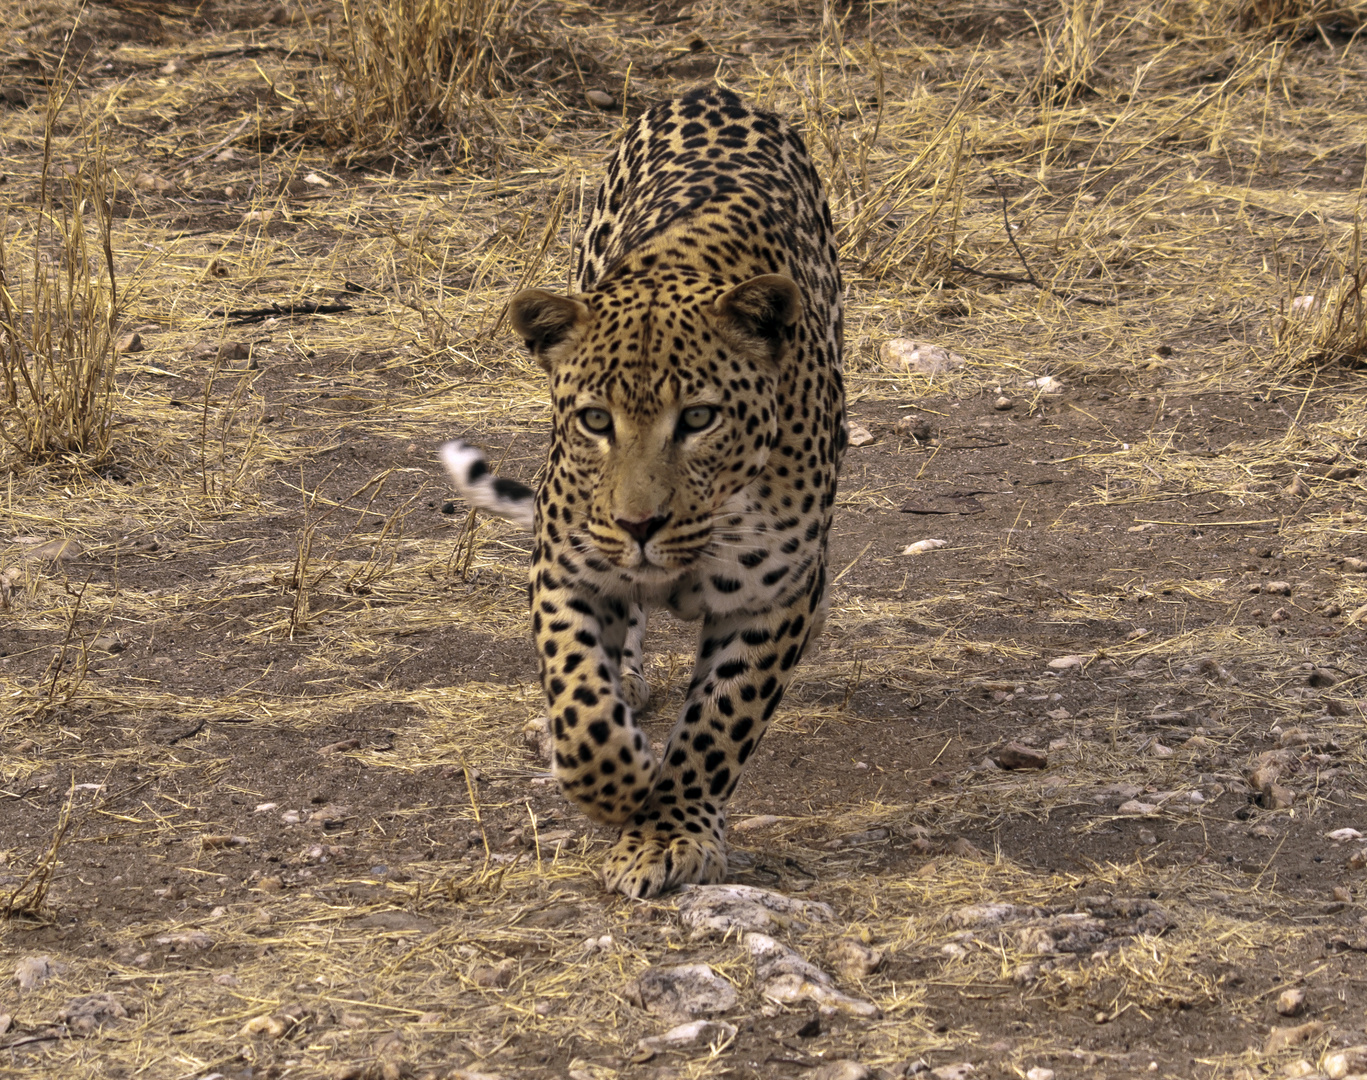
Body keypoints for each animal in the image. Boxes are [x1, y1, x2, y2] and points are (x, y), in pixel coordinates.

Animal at [442, 84, 836, 902]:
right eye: (596, 420)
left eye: (700, 418)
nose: (640, 525)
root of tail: (713, 88)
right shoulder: (566, 566)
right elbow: (578, 700)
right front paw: (620, 783)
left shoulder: (771, 598)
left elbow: (719, 724)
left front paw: (666, 831)